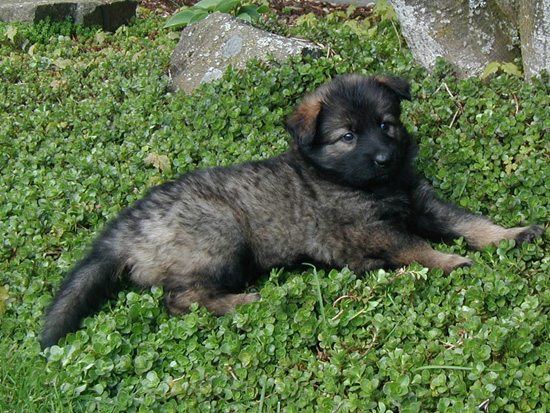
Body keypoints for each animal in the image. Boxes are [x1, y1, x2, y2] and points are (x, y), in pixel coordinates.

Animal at [40, 75, 548, 348]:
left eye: (386, 125)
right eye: (348, 136)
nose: (385, 158)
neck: (361, 182)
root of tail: (123, 231)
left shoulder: (423, 203)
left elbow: (470, 222)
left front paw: (511, 234)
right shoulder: (370, 230)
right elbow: (418, 246)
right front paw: (448, 260)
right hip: (219, 233)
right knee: (181, 299)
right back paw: (244, 300)